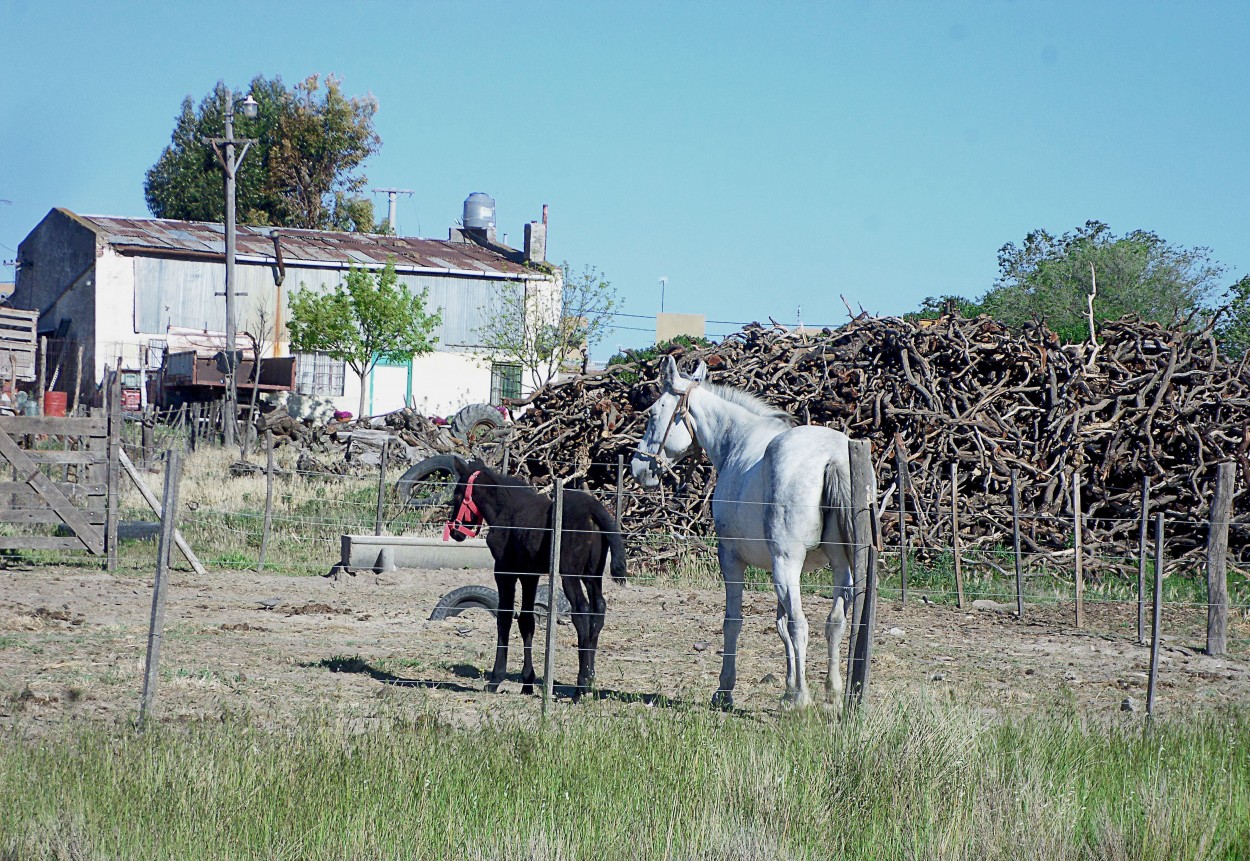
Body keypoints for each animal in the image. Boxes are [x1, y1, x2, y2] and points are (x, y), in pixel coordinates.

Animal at [630, 354, 865, 709]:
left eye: (655, 412)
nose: (638, 467)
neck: (737, 441)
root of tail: (832, 457)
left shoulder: (732, 559)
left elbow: (735, 622)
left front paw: (725, 690)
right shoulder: (782, 570)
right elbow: (780, 626)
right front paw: (787, 688)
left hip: (788, 564)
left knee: (801, 625)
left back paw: (803, 699)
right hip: (838, 566)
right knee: (833, 622)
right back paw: (832, 693)